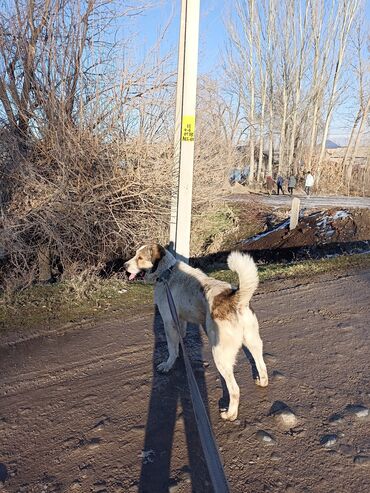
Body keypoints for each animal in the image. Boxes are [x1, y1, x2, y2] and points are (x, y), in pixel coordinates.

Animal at [123, 244, 268, 420]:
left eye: (140, 258)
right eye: (135, 255)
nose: (124, 266)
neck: (167, 273)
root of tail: (235, 298)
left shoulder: (168, 322)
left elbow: (171, 348)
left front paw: (168, 364)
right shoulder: (179, 320)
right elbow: (180, 339)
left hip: (220, 356)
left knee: (235, 389)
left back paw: (230, 414)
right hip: (253, 343)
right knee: (261, 365)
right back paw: (262, 381)